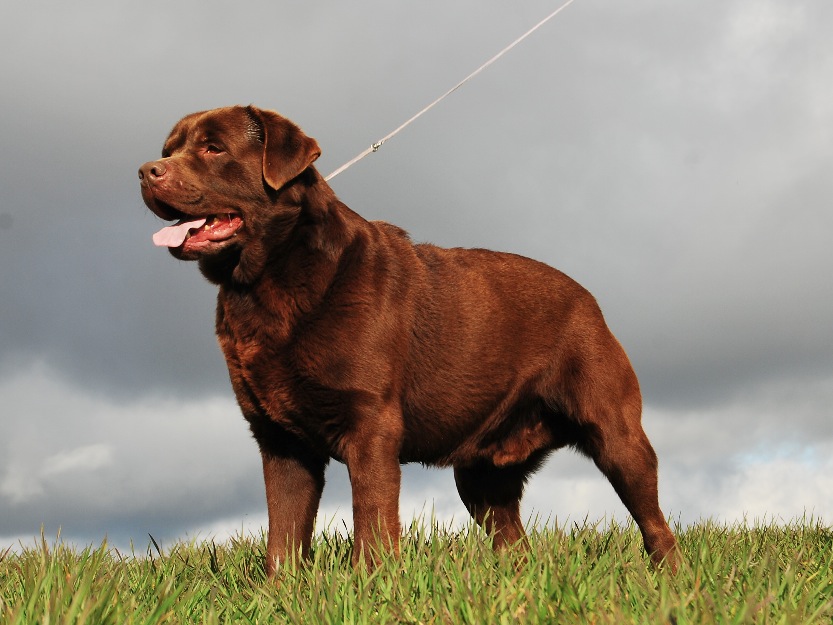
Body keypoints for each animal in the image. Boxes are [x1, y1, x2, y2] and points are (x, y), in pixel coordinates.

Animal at [140, 105, 676, 572]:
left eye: (212, 148)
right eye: (169, 149)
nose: (146, 171)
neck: (267, 281)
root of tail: (588, 297)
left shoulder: (371, 427)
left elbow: (372, 524)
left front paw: (369, 587)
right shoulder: (280, 441)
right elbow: (283, 539)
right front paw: (280, 596)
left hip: (616, 433)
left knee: (655, 524)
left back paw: (668, 583)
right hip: (481, 475)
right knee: (514, 543)